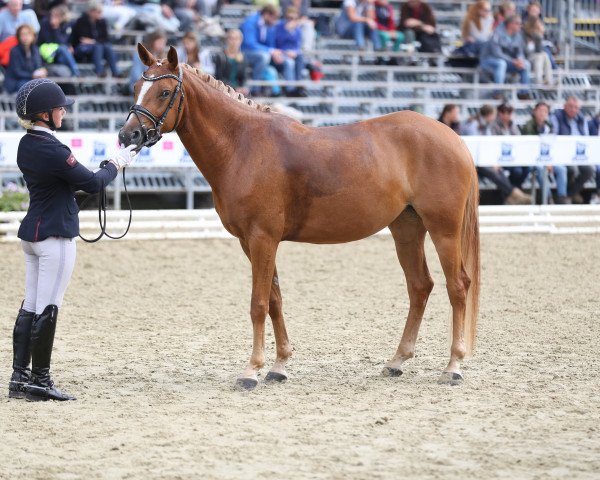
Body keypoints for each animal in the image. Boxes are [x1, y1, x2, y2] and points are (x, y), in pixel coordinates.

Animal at [119, 46, 480, 390]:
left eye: (165, 92)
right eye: (136, 87)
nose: (128, 136)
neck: (243, 145)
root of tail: (453, 138)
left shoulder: (262, 238)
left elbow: (258, 303)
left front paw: (252, 370)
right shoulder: (251, 242)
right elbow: (274, 299)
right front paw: (279, 366)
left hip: (444, 230)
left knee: (458, 286)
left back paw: (454, 366)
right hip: (406, 228)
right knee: (420, 285)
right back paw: (397, 361)